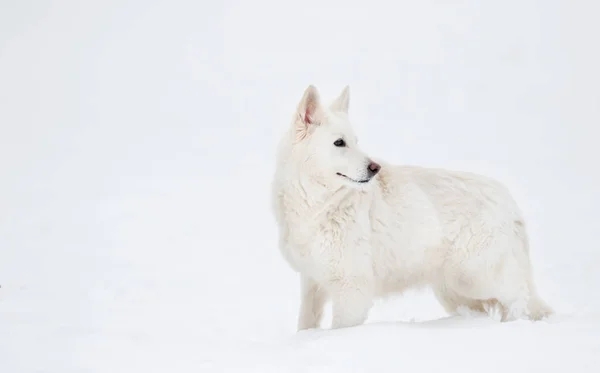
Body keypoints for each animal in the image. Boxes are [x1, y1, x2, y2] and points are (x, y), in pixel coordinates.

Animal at [272, 84, 552, 328]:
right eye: (339, 143)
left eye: (356, 141)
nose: (375, 168)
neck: (318, 204)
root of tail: (509, 201)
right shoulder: (312, 281)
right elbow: (306, 324)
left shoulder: (351, 288)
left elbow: (340, 329)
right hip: (454, 290)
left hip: (475, 277)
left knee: (523, 299)